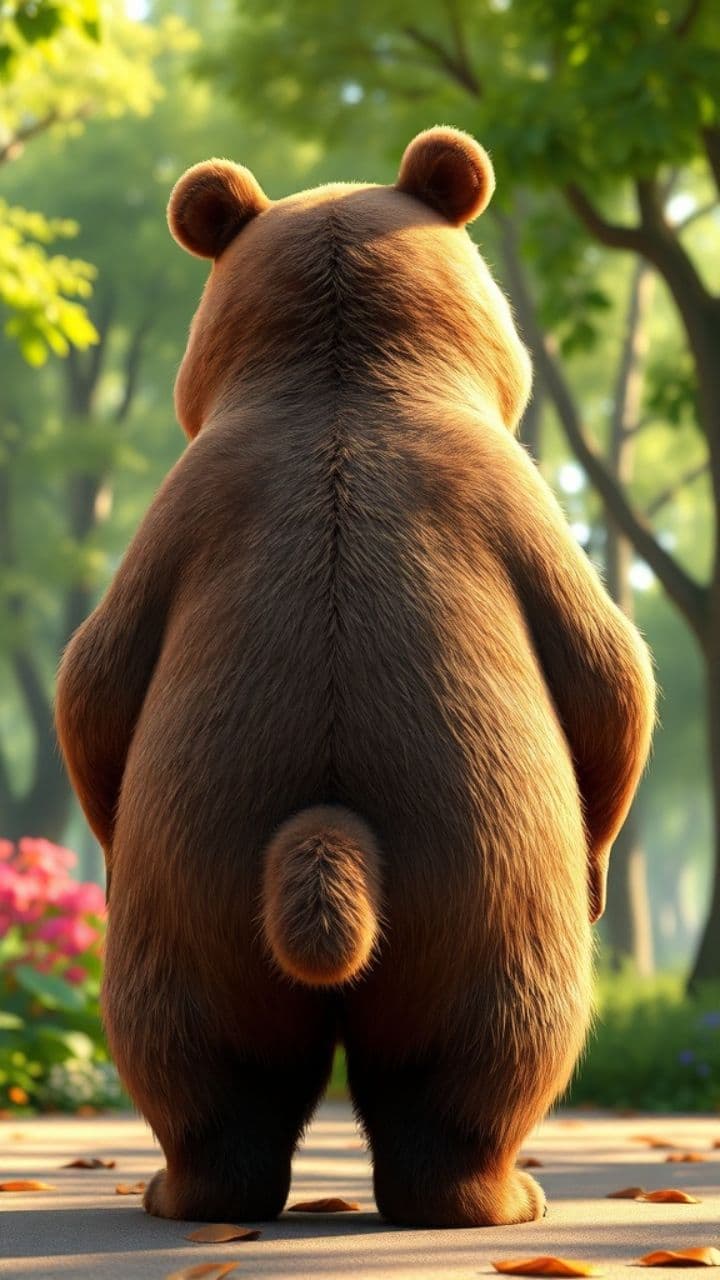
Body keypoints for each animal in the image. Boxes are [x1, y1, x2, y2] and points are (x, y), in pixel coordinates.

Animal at [55, 127, 655, 1229]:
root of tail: (332, 837)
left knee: (204, 1059)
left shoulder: (189, 501)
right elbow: (608, 672)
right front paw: (601, 862)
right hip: (485, 889)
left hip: (202, 900)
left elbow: (99, 682)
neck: (340, 375)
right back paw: (497, 1194)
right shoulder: (512, 493)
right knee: (490, 1050)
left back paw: (200, 1187)